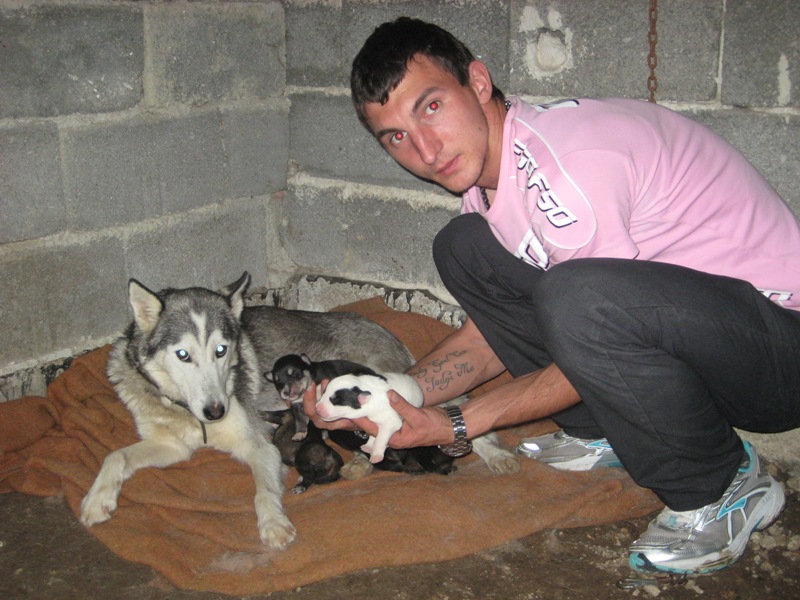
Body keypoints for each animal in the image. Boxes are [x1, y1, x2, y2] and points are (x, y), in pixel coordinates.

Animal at [79, 272, 412, 548]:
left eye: (221, 350)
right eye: (183, 355)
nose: (217, 411)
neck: (189, 414)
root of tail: (397, 342)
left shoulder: (260, 445)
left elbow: (263, 491)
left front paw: (274, 524)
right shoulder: (171, 446)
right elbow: (115, 456)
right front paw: (97, 500)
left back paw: (360, 461)